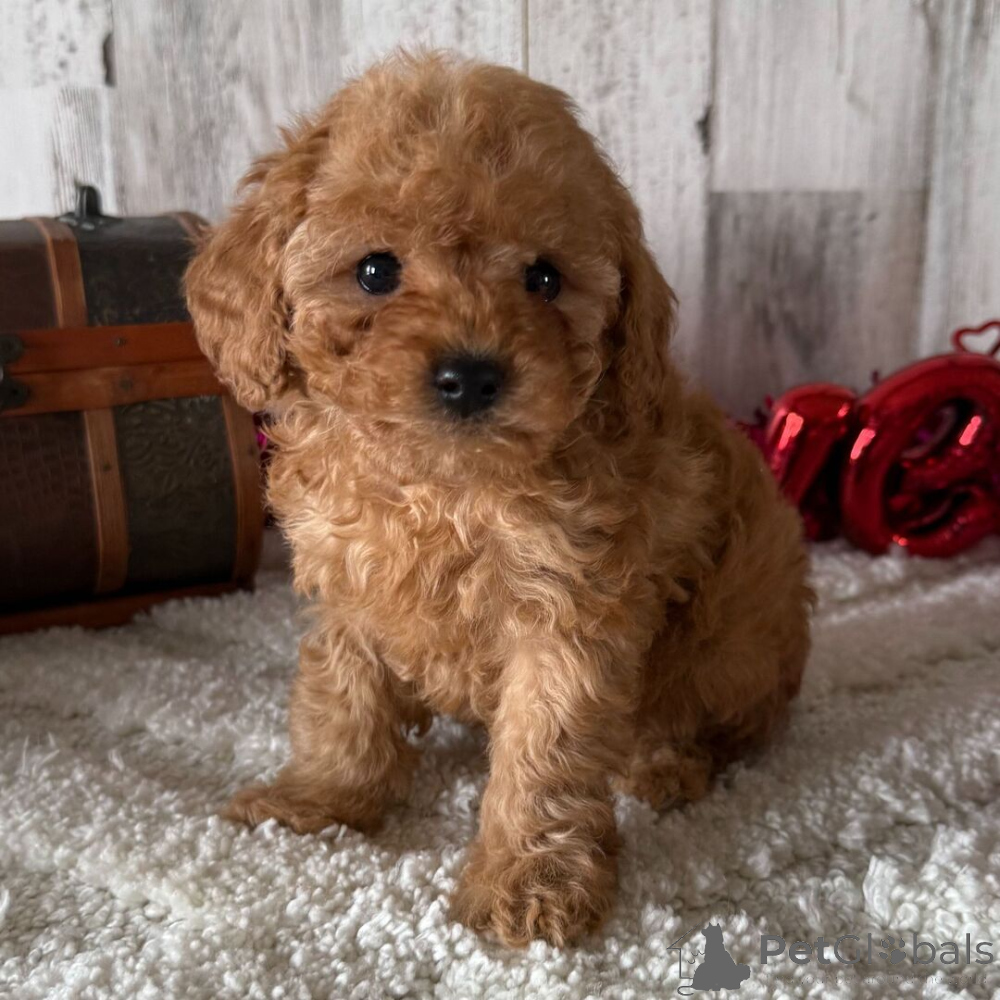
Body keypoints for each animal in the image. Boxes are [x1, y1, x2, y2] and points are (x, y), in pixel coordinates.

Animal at [186, 51, 812, 947]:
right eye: (374, 270)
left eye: (544, 278)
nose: (472, 374)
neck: (444, 487)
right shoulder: (352, 584)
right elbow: (343, 694)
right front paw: (321, 798)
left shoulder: (570, 608)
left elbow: (545, 751)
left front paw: (529, 880)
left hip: (734, 637)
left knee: (718, 722)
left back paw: (664, 762)